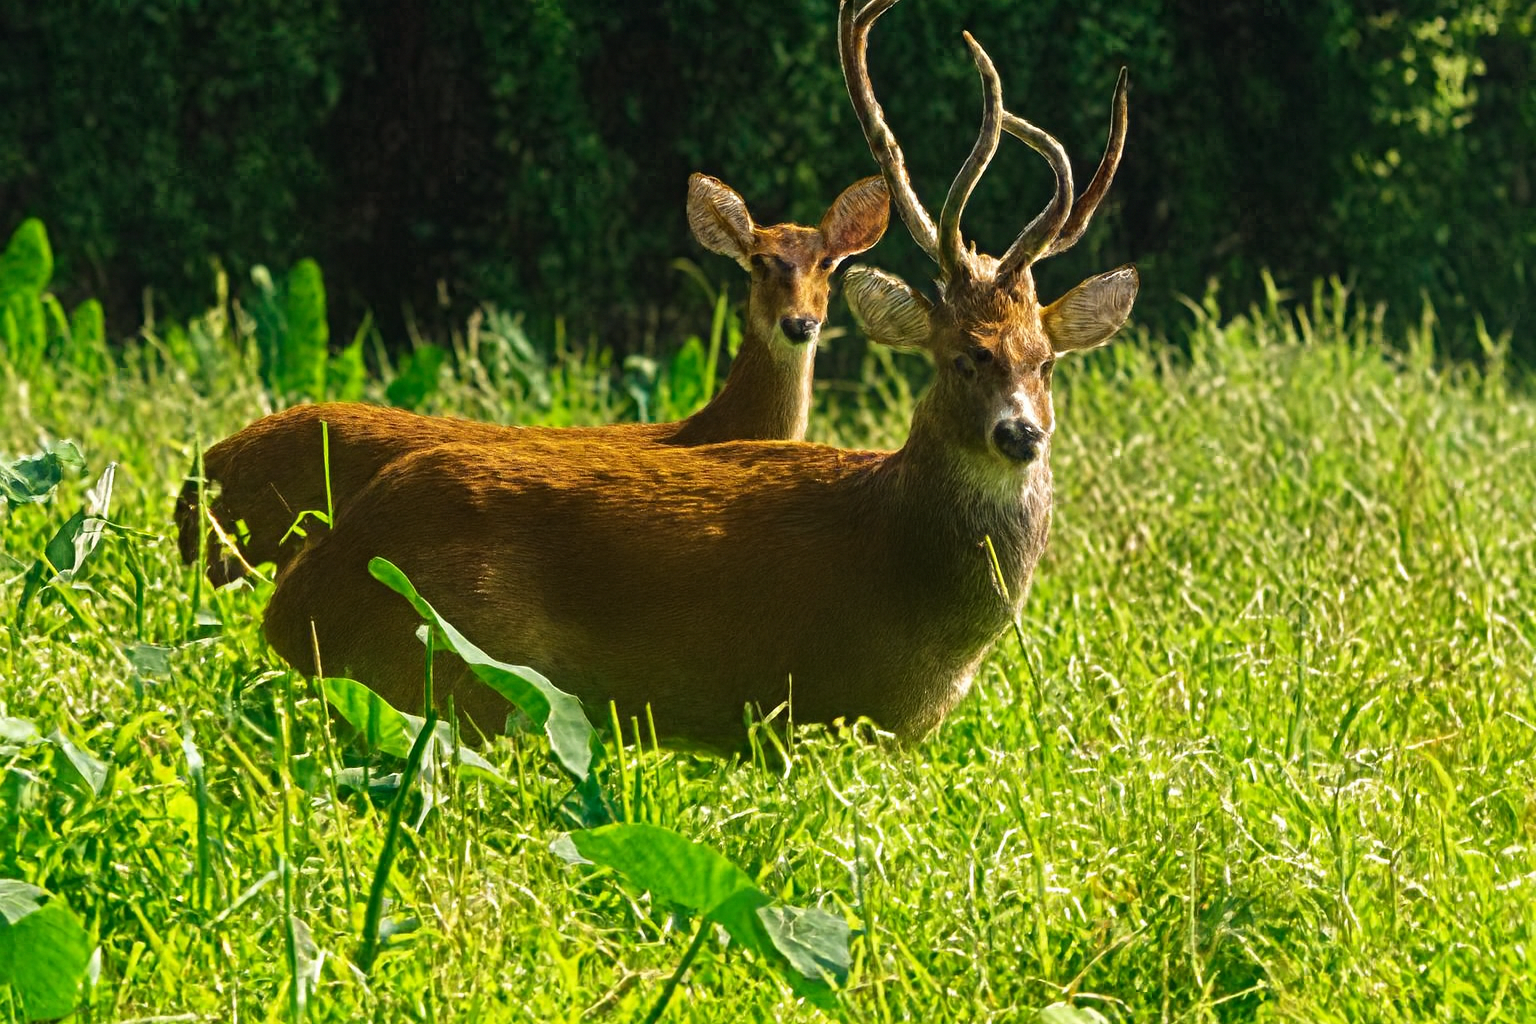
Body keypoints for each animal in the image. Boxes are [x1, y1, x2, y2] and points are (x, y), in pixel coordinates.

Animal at [260, 0, 1136, 751]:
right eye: (962, 357)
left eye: (1046, 362)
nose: (1021, 434)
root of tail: (293, 611)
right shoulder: (812, 708)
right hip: (460, 664)